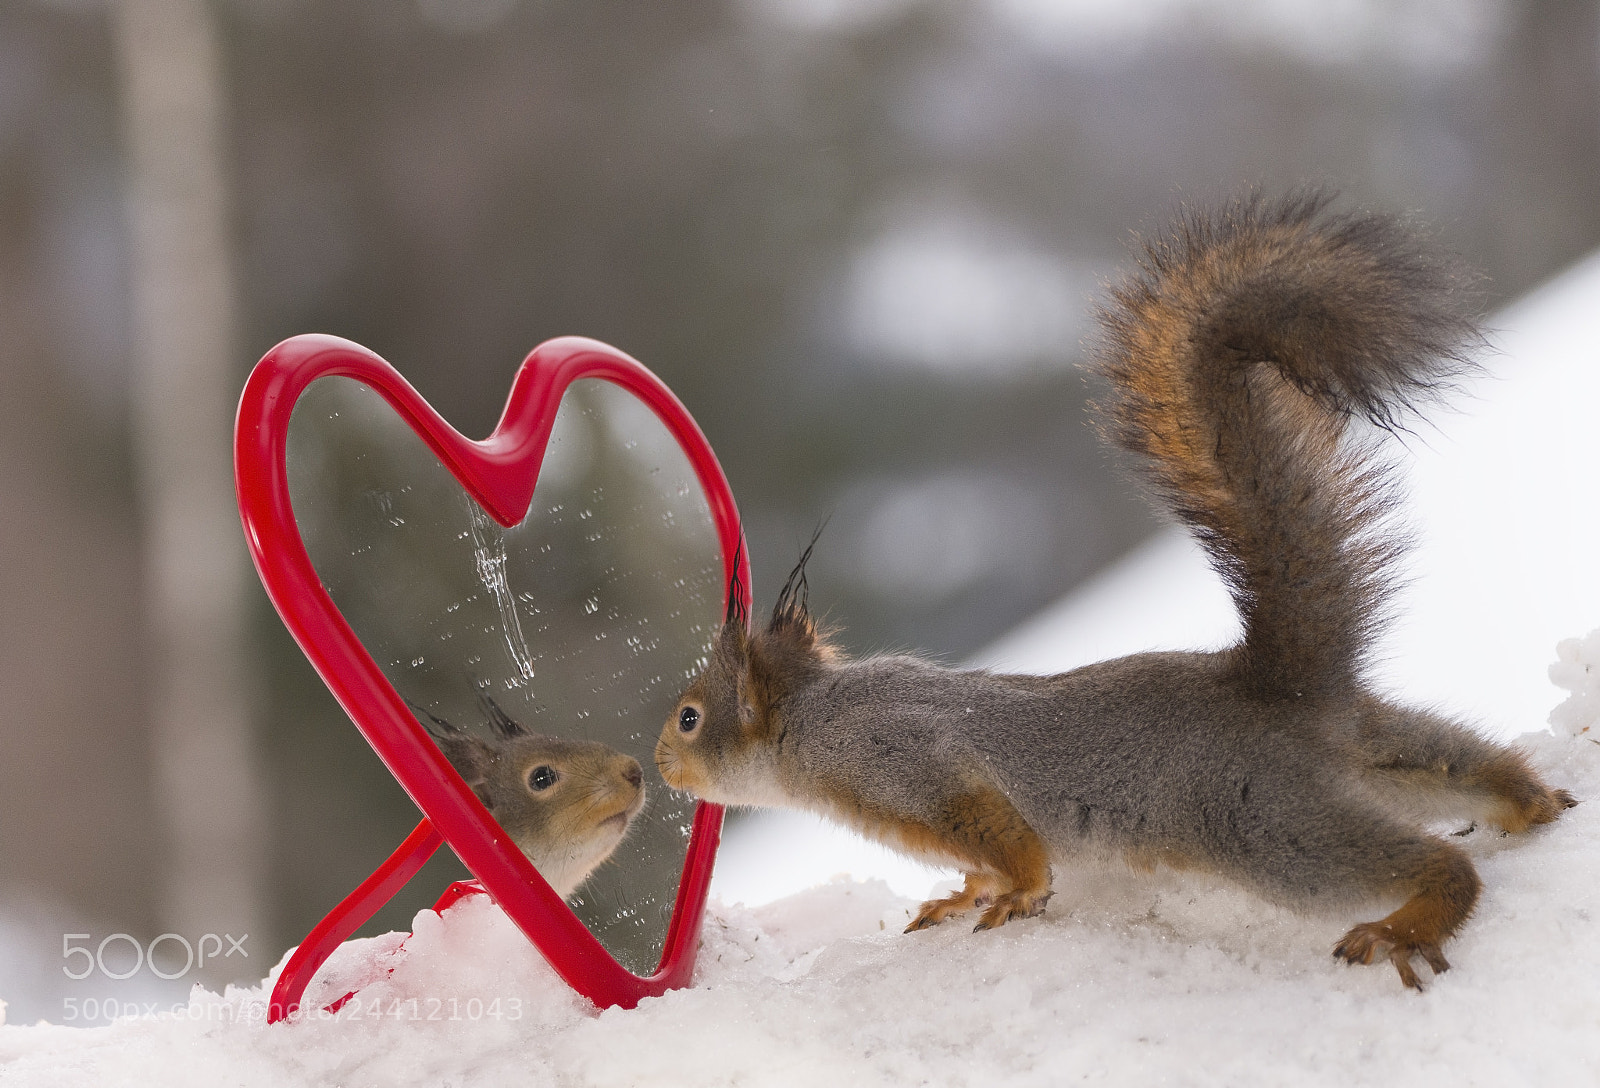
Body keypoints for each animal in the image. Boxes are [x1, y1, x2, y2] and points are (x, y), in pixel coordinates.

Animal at [653, 189, 1577, 991]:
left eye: (691, 717)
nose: (661, 763)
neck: (810, 721)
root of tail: (1278, 687)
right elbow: (977, 869)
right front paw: (964, 894)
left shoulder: (908, 763)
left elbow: (1006, 839)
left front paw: (1017, 892)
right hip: (1370, 749)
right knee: (1457, 760)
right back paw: (1532, 803)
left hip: (1263, 820)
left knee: (1423, 862)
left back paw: (1410, 920)